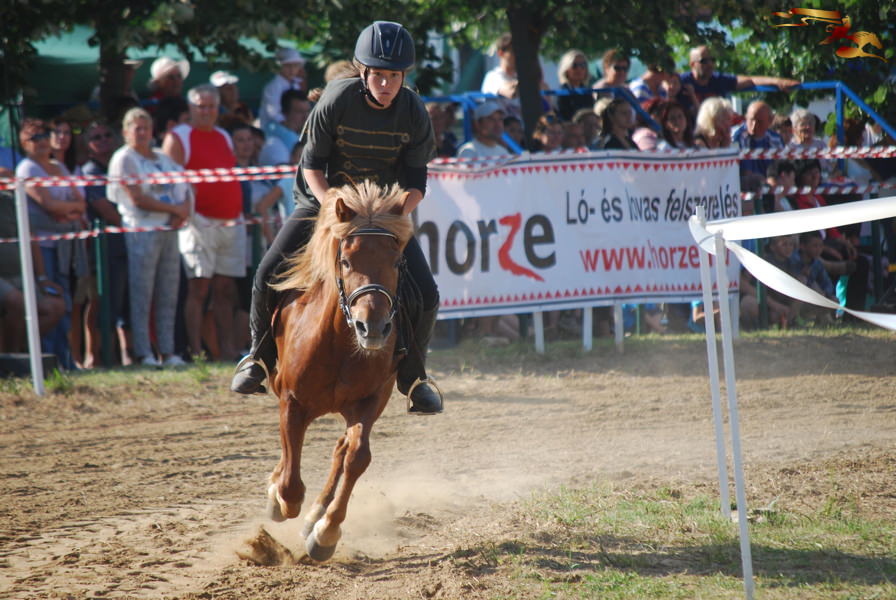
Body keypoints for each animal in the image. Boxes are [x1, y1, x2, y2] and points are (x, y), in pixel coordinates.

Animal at [265, 180, 414, 562]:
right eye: (345, 261)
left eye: (396, 262)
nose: (372, 327)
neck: (337, 343)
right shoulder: (291, 402)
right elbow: (290, 483)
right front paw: (279, 497)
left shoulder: (372, 399)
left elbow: (357, 456)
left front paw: (326, 531)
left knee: (342, 448)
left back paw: (316, 515)